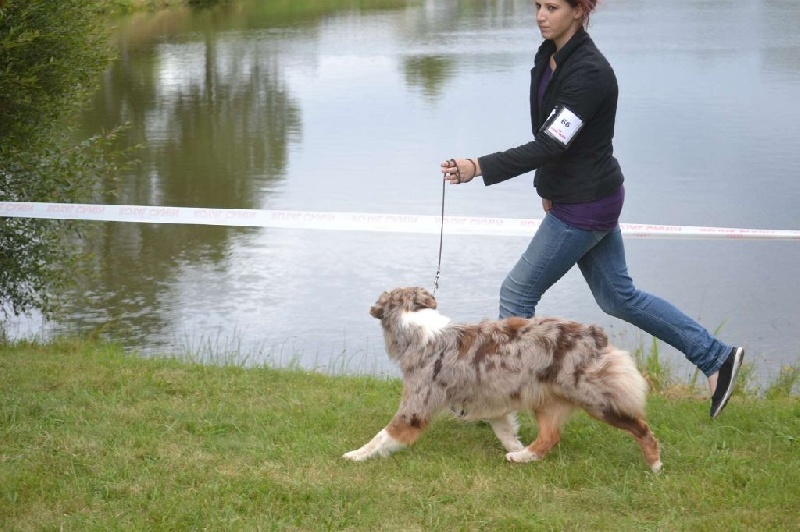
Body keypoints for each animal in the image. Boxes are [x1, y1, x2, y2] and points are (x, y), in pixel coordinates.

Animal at [344, 284, 664, 472]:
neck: (415, 324)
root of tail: (593, 334)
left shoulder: (416, 406)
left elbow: (383, 435)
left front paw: (357, 454)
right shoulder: (491, 402)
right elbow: (506, 431)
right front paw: (516, 448)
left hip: (597, 399)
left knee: (642, 427)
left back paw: (655, 465)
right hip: (545, 400)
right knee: (549, 437)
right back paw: (522, 457)